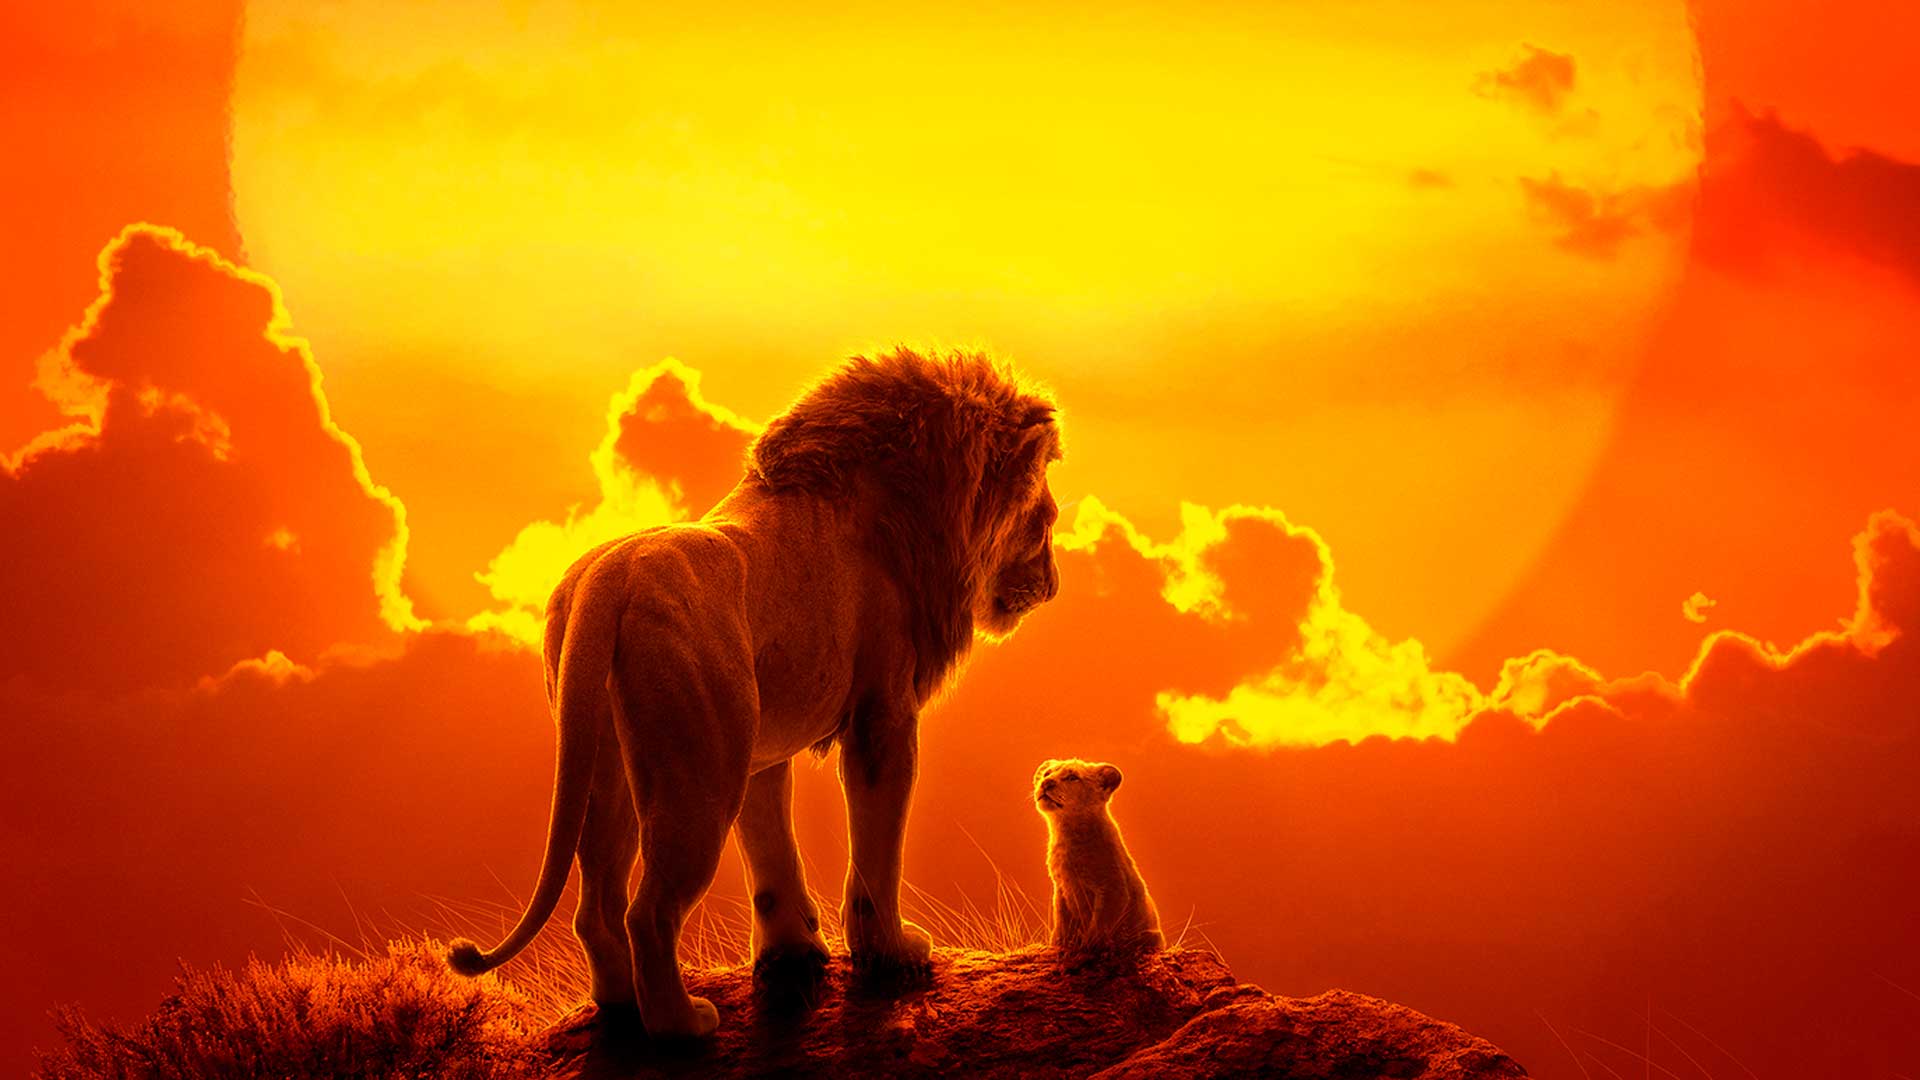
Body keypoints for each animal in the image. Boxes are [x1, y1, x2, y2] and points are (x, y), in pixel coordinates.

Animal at [448, 348, 1063, 1038]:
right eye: (1045, 521)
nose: (1053, 585)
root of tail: (608, 582)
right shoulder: (882, 716)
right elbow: (877, 851)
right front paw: (892, 954)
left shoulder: (761, 747)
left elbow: (771, 853)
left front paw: (792, 952)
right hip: (698, 776)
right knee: (649, 912)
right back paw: (682, 1026)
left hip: (608, 765)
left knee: (598, 905)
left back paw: (621, 1006)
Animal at [1033, 758, 1163, 955]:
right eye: (1048, 773)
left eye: (1072, 777)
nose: (1046, 783)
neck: (1066, 833)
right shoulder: (1061, 888)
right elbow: (1061, 921)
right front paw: (1059, 944)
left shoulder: (1112, 887)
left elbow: (1100, 923)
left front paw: (1089, 947)